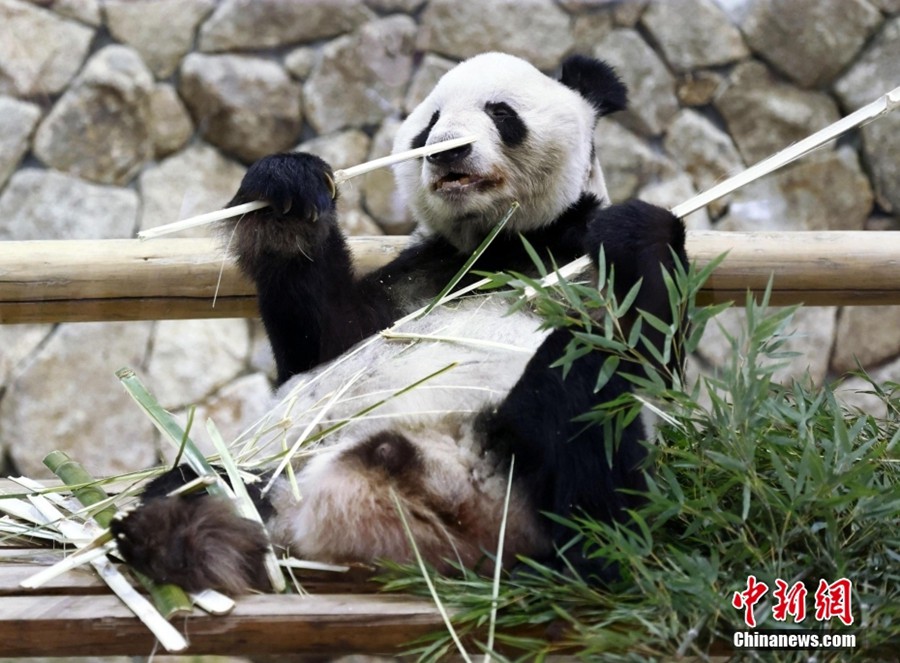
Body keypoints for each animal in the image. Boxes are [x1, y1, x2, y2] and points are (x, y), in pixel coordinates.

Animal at [111, 52, 687, 594]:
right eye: (429, 124)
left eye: (501, 113)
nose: (446, 151)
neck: (505, 240)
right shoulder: (425, 276)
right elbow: (323, 338)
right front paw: (286, 189)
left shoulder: (569, 253)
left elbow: (654, 356)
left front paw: (640, 233)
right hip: (282, 477)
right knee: (203, 482)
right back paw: (175, 533)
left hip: (516, 466)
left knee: (581, 385)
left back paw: (599, 550)